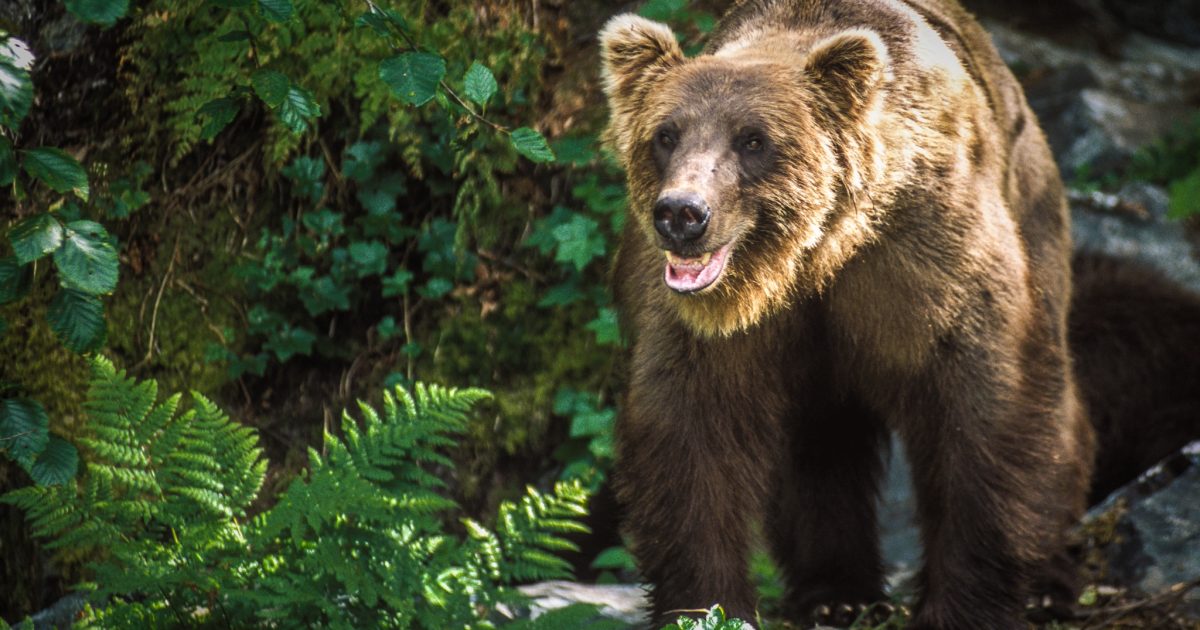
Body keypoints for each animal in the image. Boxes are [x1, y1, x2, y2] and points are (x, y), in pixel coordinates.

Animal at [599, 1, 1095, 628]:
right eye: (665, 134)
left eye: (753, 140)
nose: (683, 213)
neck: (812, 258)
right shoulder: (711, 328)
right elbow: (689, 435)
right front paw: (708, 605)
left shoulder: (928, 257)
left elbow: (984, 407)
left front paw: (964, 606)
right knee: (821, 447)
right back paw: (835, 594)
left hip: (1034, 208)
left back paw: (1049, 581)